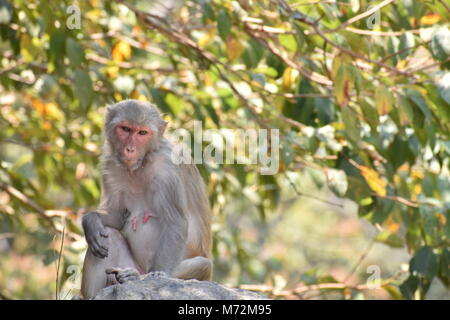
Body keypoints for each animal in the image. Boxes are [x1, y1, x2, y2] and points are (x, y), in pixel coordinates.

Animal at [80, 99, 212, 298]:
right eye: (125, 129)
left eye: (142, 133)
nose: (130, 149)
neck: (143, 163)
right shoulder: (110, 166)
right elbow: (117, 216)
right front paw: (91, 222)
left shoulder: (168, 168)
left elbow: (176, 222)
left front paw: (156, 274)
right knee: (110, 235)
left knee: (203, 265)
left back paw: (135, 277)